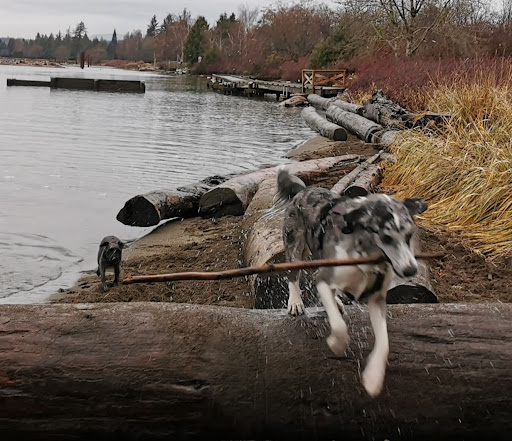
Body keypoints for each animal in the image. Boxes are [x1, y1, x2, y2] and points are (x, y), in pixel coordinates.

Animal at [277, 167, 427, 397]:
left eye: (409, 235)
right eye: (386, 237)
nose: (410, 270)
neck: (364, 254)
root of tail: (302, 190)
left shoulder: (376, 296)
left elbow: (384, 343)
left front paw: (373, 377)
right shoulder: (323, 278)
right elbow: (339, 327)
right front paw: (337, 345)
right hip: (295, 245)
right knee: (293, 275)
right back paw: (296, 302)